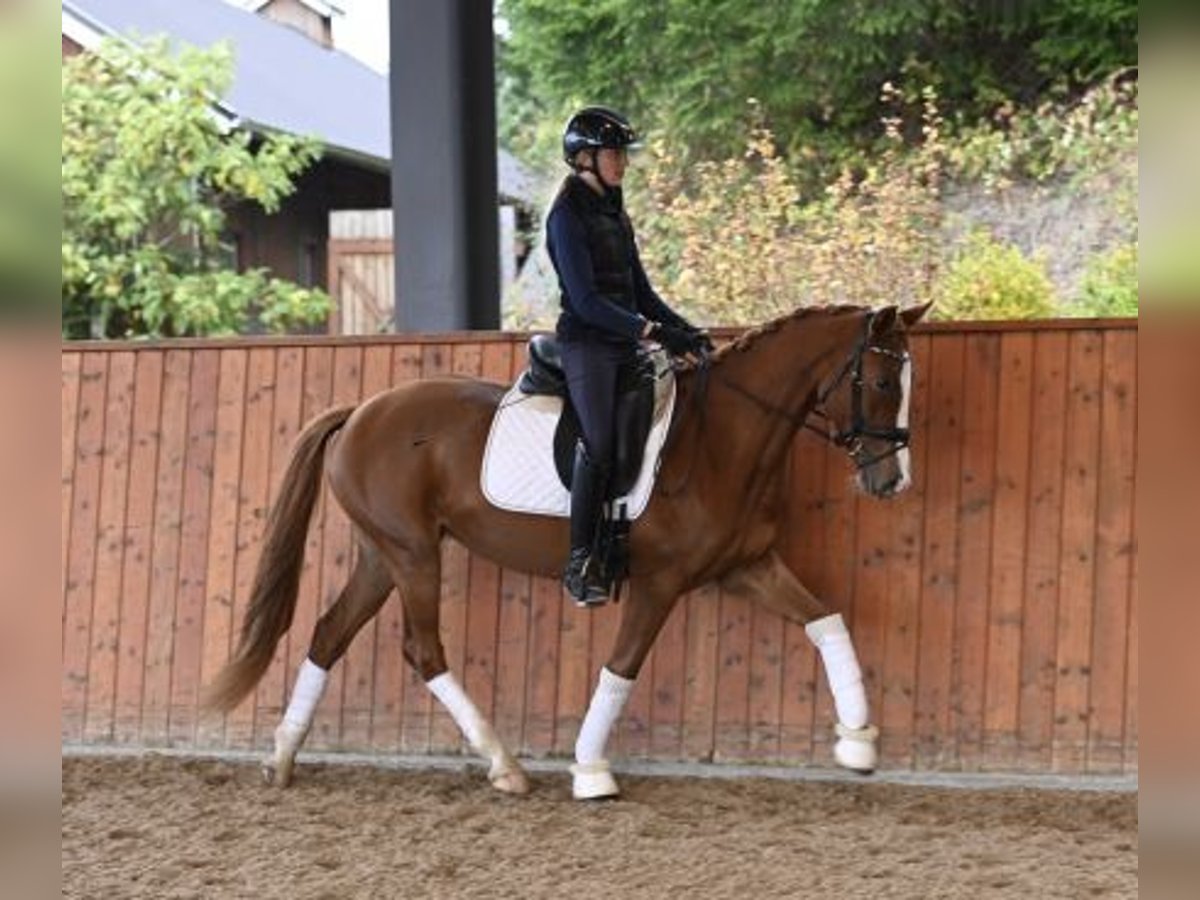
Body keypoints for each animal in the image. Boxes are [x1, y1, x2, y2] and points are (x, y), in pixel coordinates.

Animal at [204, 304, 926, 801]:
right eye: (881, 382)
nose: (891, 481)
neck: (721, 439)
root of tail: (360, 412)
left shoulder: (745, 568)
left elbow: (827, 619)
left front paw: (858, 745)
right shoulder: (661, 582)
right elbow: (622, 667)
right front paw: (590, 769)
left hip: (383, 555)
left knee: (329, 634)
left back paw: (281, 759)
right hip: (412, 555)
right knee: (423, 650)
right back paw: (505, 767)